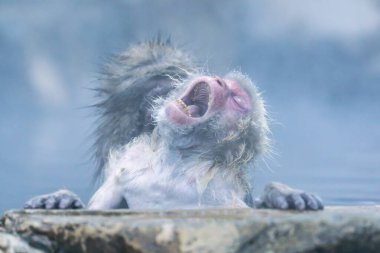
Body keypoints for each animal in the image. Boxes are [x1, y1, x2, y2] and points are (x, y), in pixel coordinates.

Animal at [23, 38, 322, 211]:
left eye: (237, 98)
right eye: (224, 82)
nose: (220, 82)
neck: (175, 163)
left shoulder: (225, 194)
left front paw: (281, 194)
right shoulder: (127, 167)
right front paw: (60, 198)